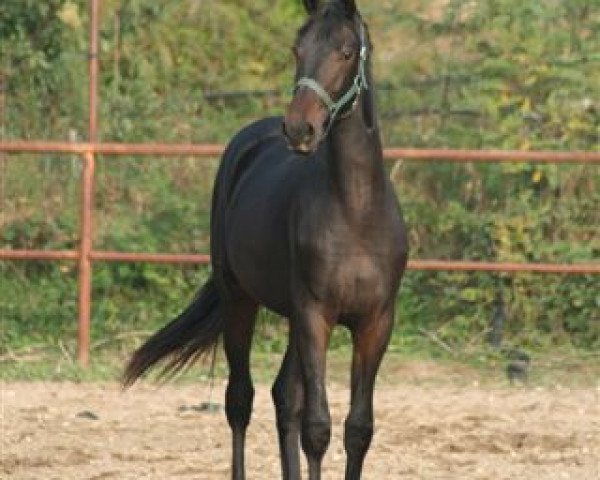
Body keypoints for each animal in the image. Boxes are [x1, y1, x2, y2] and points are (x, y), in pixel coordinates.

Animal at [124, 1, 410, 478]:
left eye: (346, 52)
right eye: (298, 49)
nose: (300, 128)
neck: (356, 211)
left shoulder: (375, 323)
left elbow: (357, 429)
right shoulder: (315, 315)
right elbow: (317, 427)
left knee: (283, 398)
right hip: (240, 299)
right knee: (241, 398)